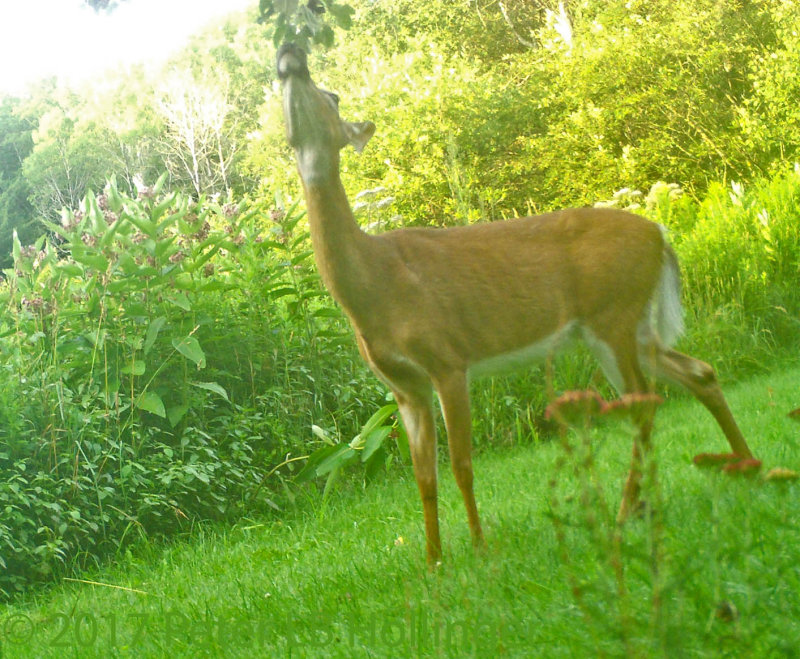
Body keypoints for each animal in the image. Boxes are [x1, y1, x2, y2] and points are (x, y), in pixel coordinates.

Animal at [276, 42, 756, 568]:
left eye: (333, 95)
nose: (291, 51)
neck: (375, 286)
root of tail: (661, 233)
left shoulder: (448, 358)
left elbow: (462, 464)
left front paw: (481, 549)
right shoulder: (405, 388)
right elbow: (424, 478)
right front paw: (433, 562)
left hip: (613, 314)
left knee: (645, 405)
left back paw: (626, 513)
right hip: (630, 325)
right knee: (696, 373)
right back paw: (738, 467)